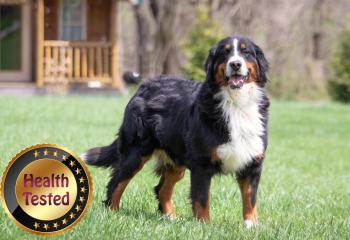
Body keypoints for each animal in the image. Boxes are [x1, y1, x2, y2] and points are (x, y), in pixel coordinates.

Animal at [81, 35, 268, 227]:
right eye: (225, 52)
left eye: (246, 52)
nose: (236, 64)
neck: (236, 103)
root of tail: (145, 84)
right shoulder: (201, 164)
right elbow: (202, 199)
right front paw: (204, 226)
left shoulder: (252, 163)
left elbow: (250, 199)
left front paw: (251, 226)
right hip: (136, 153)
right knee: (117, 182)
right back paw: (113, 213)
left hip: (176, 158)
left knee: (162, 189)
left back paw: (170, 218)